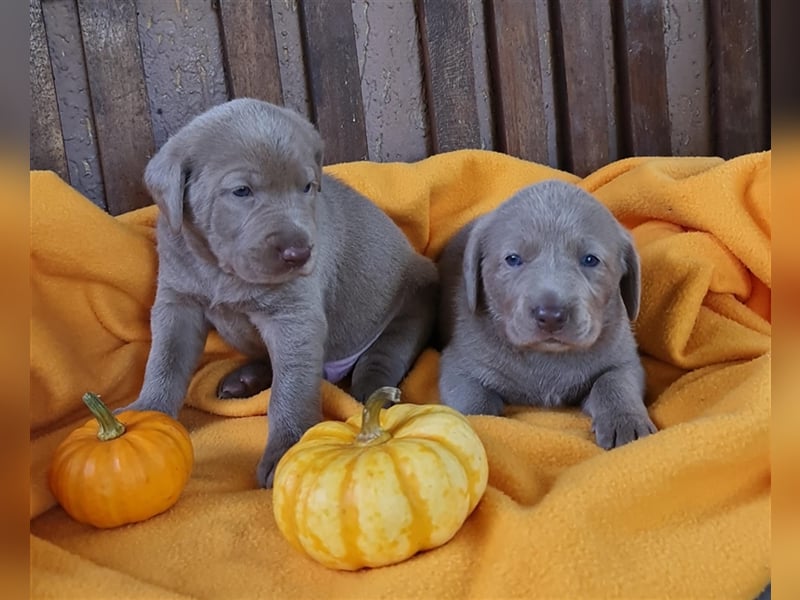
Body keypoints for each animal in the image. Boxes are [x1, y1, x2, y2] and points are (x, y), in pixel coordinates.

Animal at [122, 97, 438, 488]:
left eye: (307, 187)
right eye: (241, 191)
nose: (299, 254)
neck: (221, 270)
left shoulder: (293, 317)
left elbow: (291, 390)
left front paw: (286, 448)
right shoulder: (176, 302)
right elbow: (165, 360)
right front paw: (147, 414)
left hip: (412, 305)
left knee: (382, 357)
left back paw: (369, 392)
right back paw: (243, 379)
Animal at [438, 180, 656, 448]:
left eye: (590, 260)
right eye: (513, 259)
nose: (551, 315)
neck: (547, 356)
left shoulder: (624, 359)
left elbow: (614, 382)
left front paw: (626, 422)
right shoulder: (459, 365)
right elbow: (475, 404)